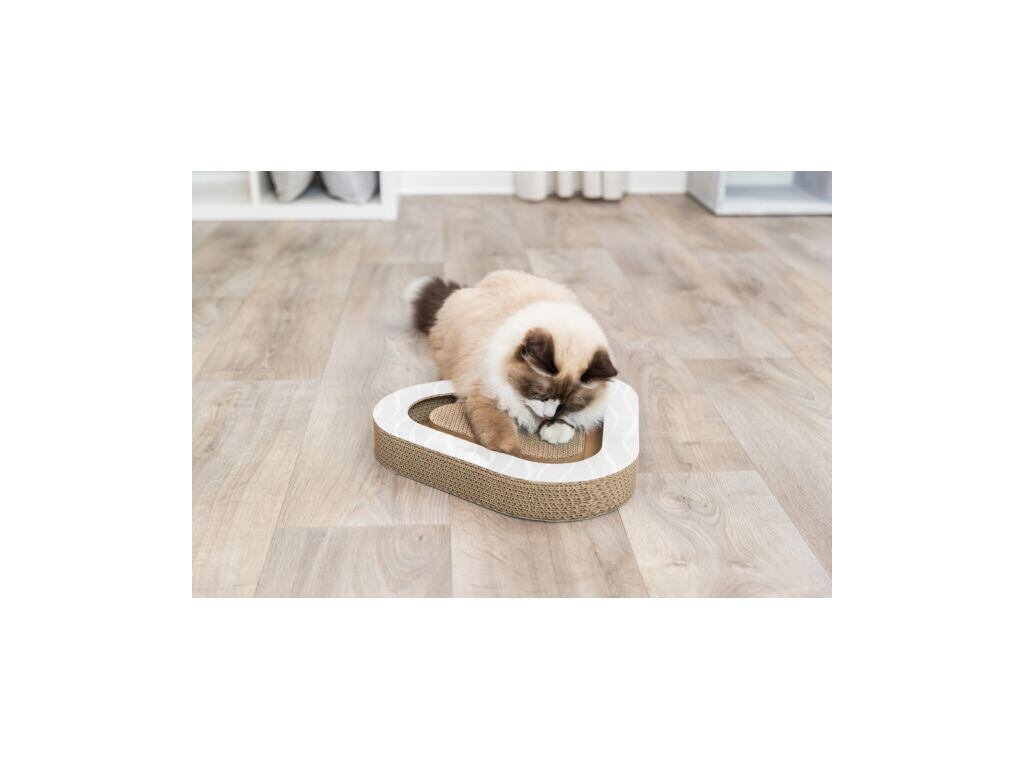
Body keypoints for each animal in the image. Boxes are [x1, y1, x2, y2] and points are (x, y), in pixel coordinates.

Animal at [406, 270, 617, 458]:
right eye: (540, 395)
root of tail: (474, 286)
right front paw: (513, 454)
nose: (548, 416)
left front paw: (555, 432)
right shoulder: (487, 394)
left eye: (567, 404)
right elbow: (500, 430)